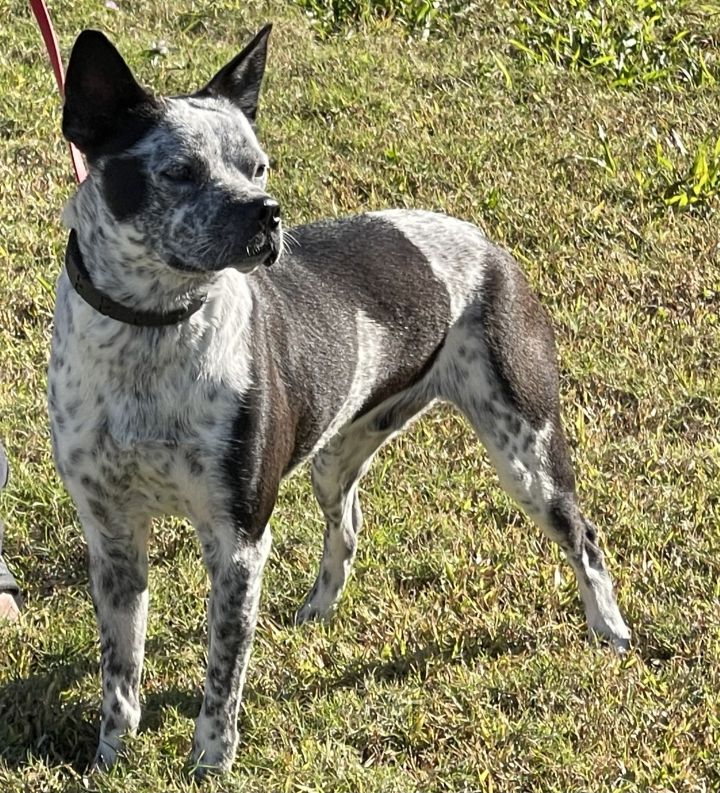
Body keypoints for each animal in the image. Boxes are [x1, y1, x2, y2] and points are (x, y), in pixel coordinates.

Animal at [47, 23, 632, 772]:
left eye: (258, 167)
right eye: (179, 171)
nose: (268, 214)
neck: (153, 331)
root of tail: (487, 243)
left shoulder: (239, 541)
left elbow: (222, 674)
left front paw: (211, 764)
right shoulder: (113, 534)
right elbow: (120, 677)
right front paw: (110, 760)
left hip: (528, 453)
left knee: (584, 535)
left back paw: (609, 629)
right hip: (335, 454)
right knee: (349, 522)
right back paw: (317, 612)